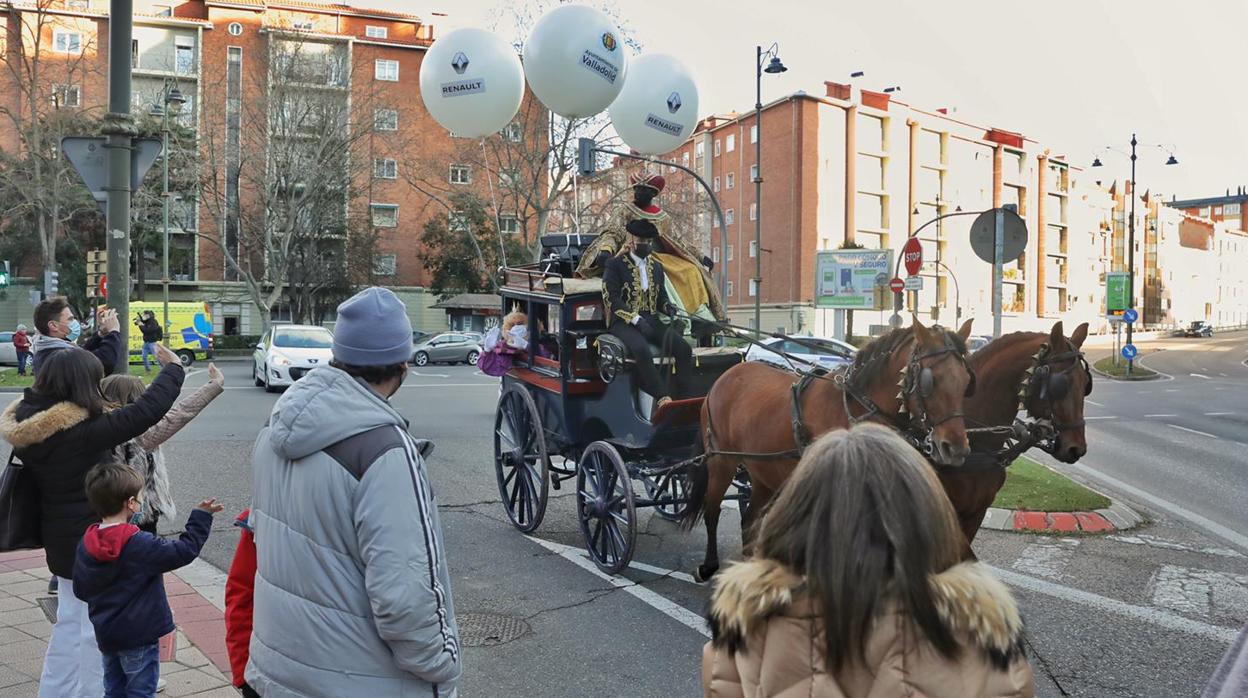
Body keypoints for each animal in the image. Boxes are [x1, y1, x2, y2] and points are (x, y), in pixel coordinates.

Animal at [683, 319, 973, 581]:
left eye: (965, 381)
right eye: (930, 381)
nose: (955, 448)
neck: (856, 408)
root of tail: (727, 376)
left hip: (762, 470)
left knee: (750, 521)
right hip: (721, 461)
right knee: (712, 510)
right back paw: (708, 566)